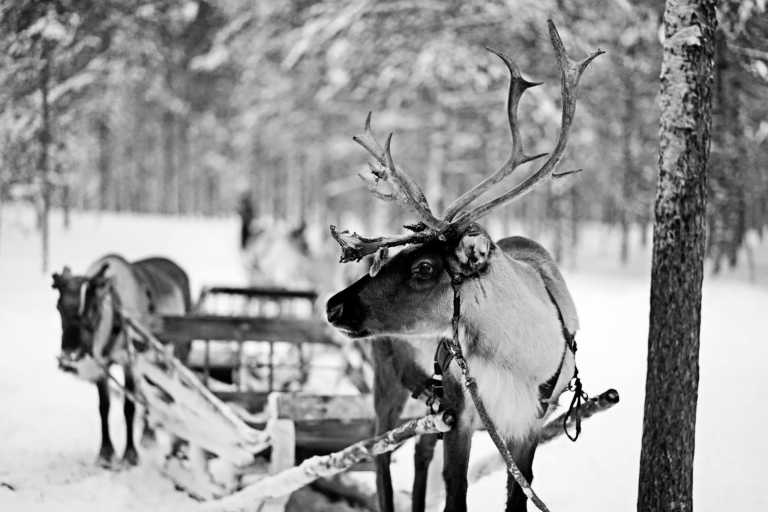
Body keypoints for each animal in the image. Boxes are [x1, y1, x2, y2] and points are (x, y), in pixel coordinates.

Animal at [325, 21, 602, 512]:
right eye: (394, 257)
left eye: (423, 268)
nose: (333, 306)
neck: (516, 360)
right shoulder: (461, 411)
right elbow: (455, 492)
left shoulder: (528, 422)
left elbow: (518, 493)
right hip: (388, 381)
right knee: (380, 453)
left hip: (427, 402)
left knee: (417, 451)